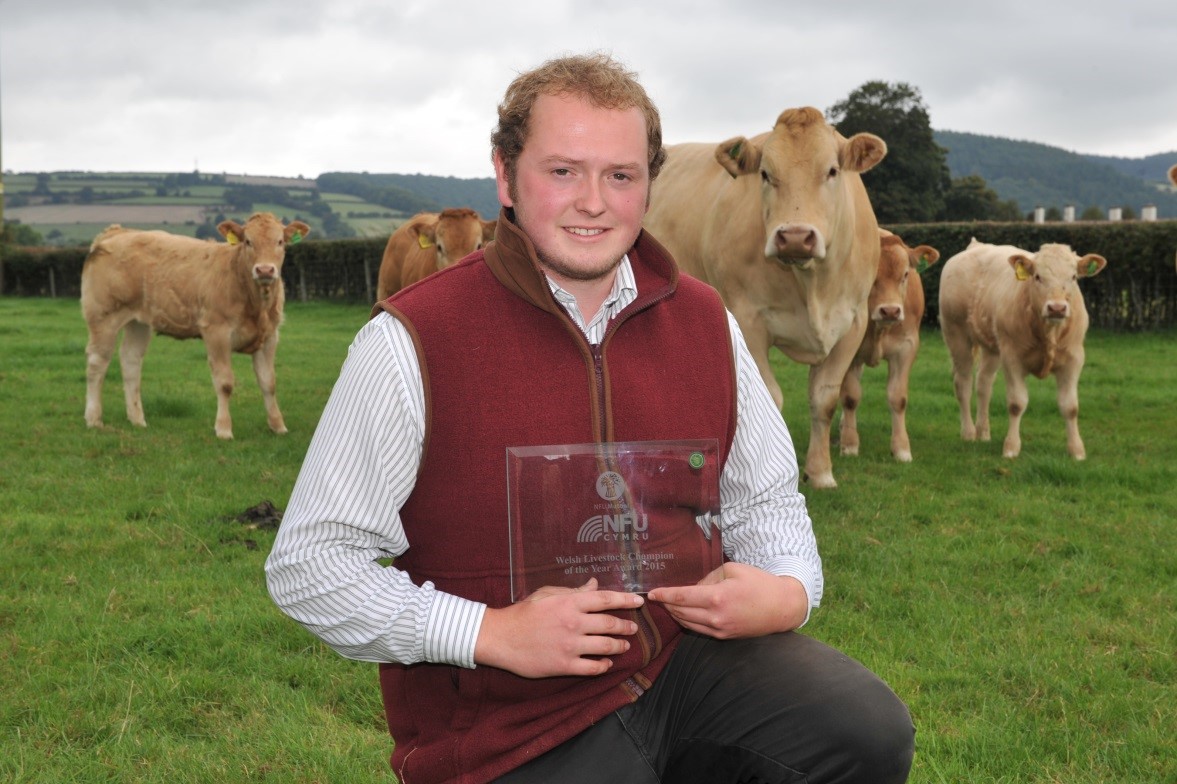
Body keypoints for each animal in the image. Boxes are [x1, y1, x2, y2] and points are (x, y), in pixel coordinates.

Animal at [83, 210, 313, 435]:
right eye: (248, 241)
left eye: (280, 241)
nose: (265, 270)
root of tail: (118, 232)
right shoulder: (216, 332)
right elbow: (224, 383)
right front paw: (223, 429)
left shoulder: (270, 335)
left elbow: (268, 383)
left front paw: (278, 426)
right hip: (103, 316)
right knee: (97, 363)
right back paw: (94, 419)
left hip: (139, 322)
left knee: (130, 359)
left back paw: (137, 420)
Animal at [644, 103, 885, 482]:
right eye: (765, 174)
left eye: (832, 171)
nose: (796, 237)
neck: (812, 285)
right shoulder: (748, 319)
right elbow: (771, 397)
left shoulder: (853, 323)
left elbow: (824, 399)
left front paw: (821, 472)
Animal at [842, 227, 941, 459]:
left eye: (905, 274)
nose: (890, 311)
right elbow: (850, 397)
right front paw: (850, 444)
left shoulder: (905, 349)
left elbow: (898, 398)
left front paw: (902, 449)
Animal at [932, 237, 1106, 459]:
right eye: (1037, 276)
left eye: (1074, 277)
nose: (1057, 308)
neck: (1048, 332)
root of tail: (976, 246)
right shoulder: (1012, 358)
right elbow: (1017, 404)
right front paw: (1011, 447)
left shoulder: (1073, 359)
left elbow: (1070, 407)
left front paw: (1077, 451)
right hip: (956, 335)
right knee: (963, 383)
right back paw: (969, 432)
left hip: (992, 347)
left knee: (983, 384)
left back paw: (983, 432)